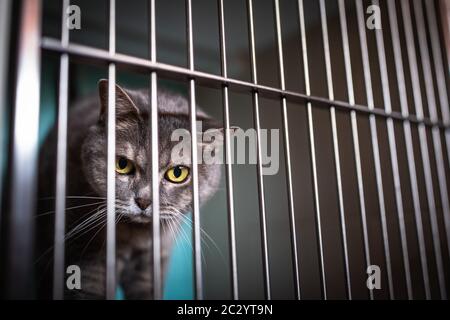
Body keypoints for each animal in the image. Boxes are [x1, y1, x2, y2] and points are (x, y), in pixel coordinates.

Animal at [37, 80, 224, 300]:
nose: (144, 201)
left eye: (177, 173)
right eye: (122, 164)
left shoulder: (151, 265)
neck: (136, 238)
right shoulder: (87, 260)